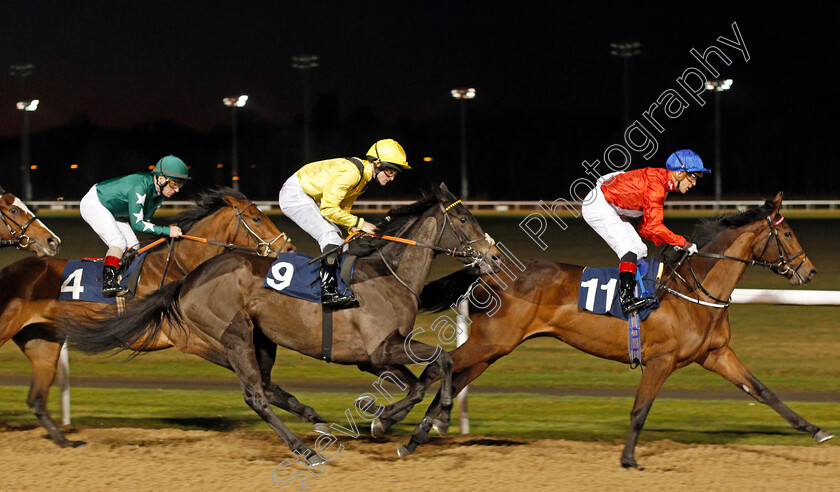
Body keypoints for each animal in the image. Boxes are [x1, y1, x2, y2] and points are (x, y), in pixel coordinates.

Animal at [0, 187, 296, 446]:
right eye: (256, 218)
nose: (289, 247)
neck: (178, 267)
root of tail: (7, 271)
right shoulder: (191, 339)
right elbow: (255, 377)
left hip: (43, 342)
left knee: (36, 399)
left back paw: (65, 442)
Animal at [64, 183, 498, 464]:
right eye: (463, 218)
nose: (494, 257)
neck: (388, 274)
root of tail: (185, 280)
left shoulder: (376, 357)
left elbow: (419, 382)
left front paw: (388, 423)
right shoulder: (379, 350)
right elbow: (442, 360)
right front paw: (428, 422)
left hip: (261, 340)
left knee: (265, 386)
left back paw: (317, 427)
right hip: (232, 335)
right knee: (256, 395)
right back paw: (305, 451)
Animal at [372, 191, 828, 466]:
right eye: (788, 232)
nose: (809, 271)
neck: (696, 289)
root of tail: (493, 271)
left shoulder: (716, 354)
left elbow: (763, 391)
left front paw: (817, 430)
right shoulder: (662, 360)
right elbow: (640, 409)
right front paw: (628, 459)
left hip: (493, 348)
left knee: (448, 379)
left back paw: (413, 436)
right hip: (490, 342)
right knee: (439, 365)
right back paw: (387, 420)